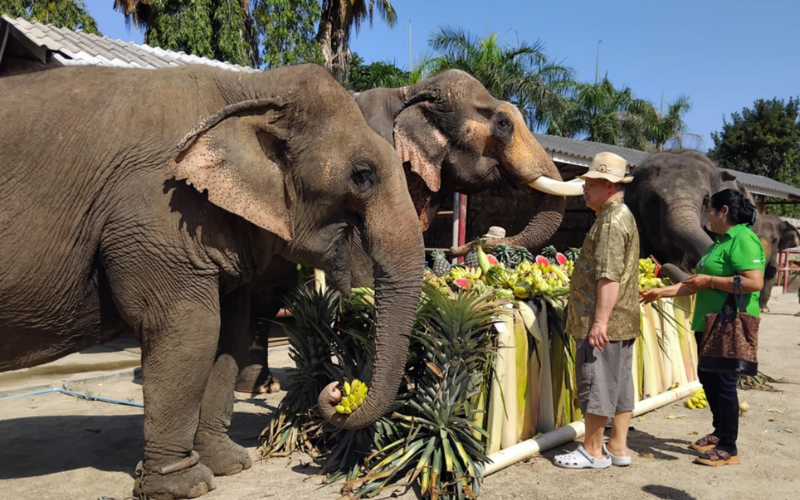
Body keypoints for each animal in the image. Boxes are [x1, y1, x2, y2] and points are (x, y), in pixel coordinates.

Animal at [0, 63, 424, 499]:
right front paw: (186, 486)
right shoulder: (159, 211)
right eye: (362, 175)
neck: (250, 87)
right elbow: (192, 328)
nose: (339, 391)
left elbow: (229, 330)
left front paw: (231, 465)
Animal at [234, 69, 584, 394]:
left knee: (265, 294)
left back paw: (259, 388)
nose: (478, 241)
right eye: (502, 124)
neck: (411, 91)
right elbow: (365, 265)